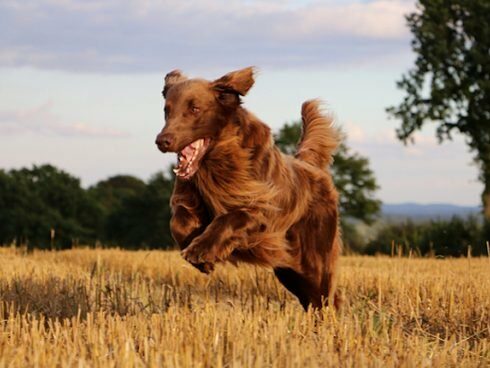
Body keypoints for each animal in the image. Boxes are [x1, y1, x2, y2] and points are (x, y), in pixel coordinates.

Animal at [156, 67, 340, 310]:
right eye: (167, 110)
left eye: (194, 109)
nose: (162, 141)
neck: (217, 164)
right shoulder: (188, 197)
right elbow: (178, 222)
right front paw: (201, 258)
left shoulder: (262, 211)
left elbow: (229, 218)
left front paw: (200, 251)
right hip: (289, 270)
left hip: (315, 260)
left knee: (326, 296)